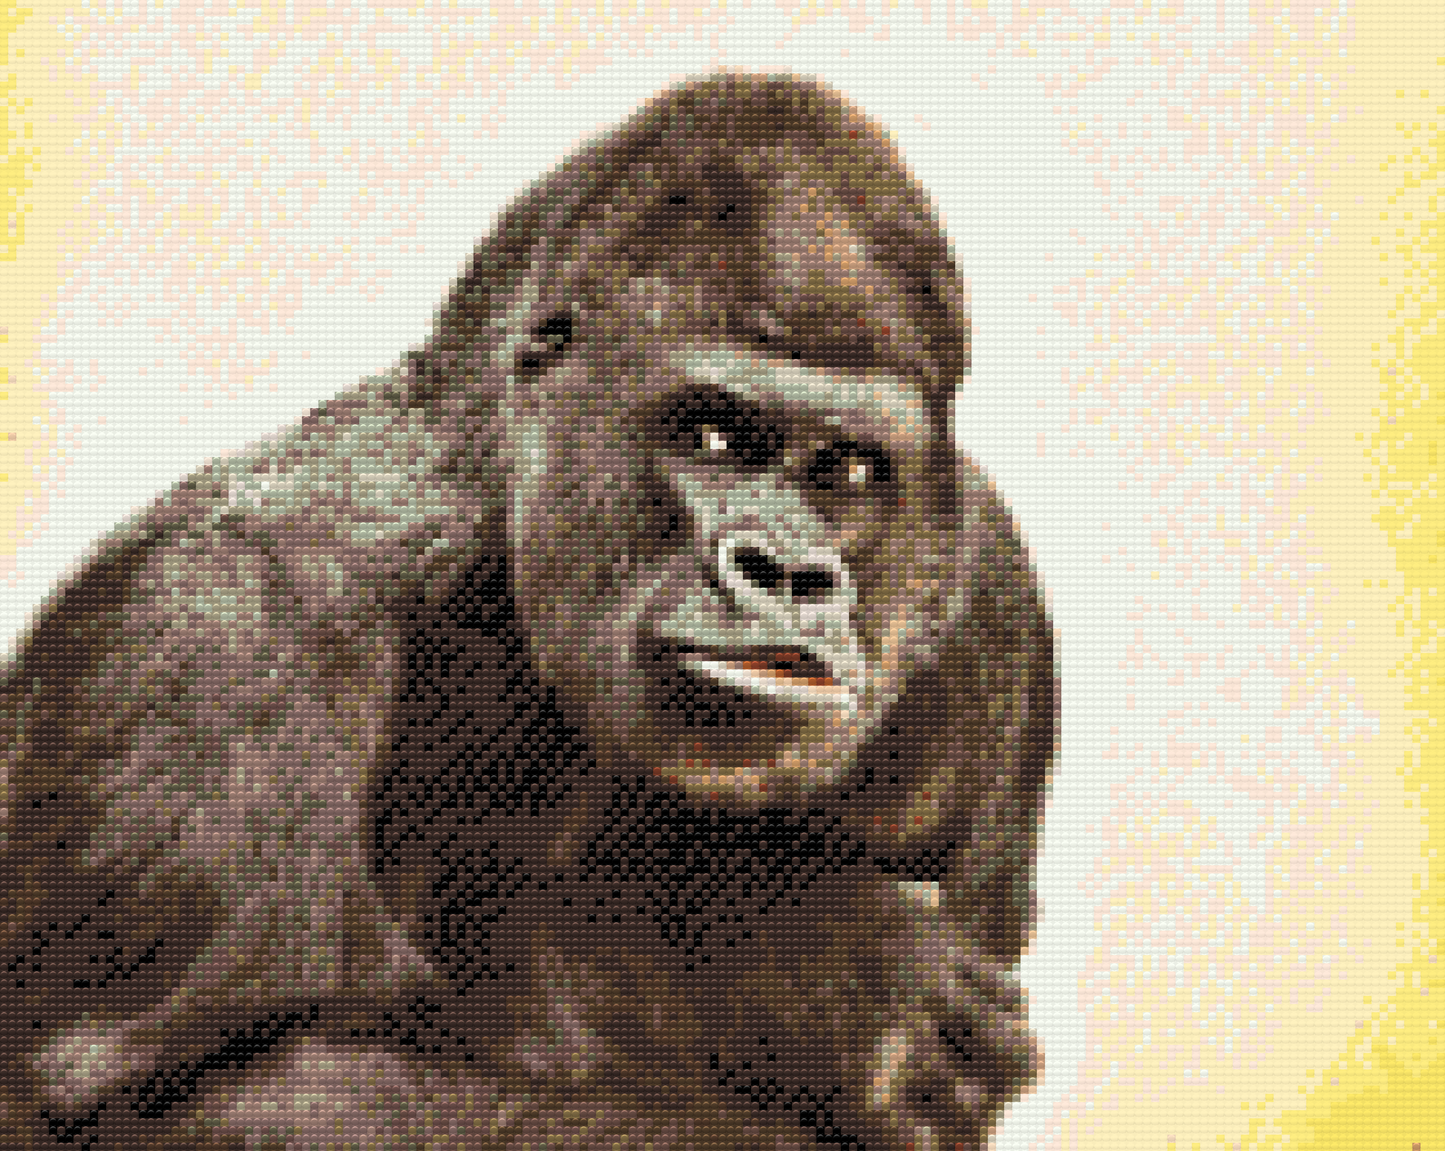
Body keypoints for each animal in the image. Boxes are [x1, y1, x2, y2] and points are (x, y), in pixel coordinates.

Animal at [0, 72, 1055, 1150]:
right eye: (711, 436)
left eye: (844, 470)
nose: (788, 572)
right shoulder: (215, 624)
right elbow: (178, 1089)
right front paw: (792, 969)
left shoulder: (990, 605)